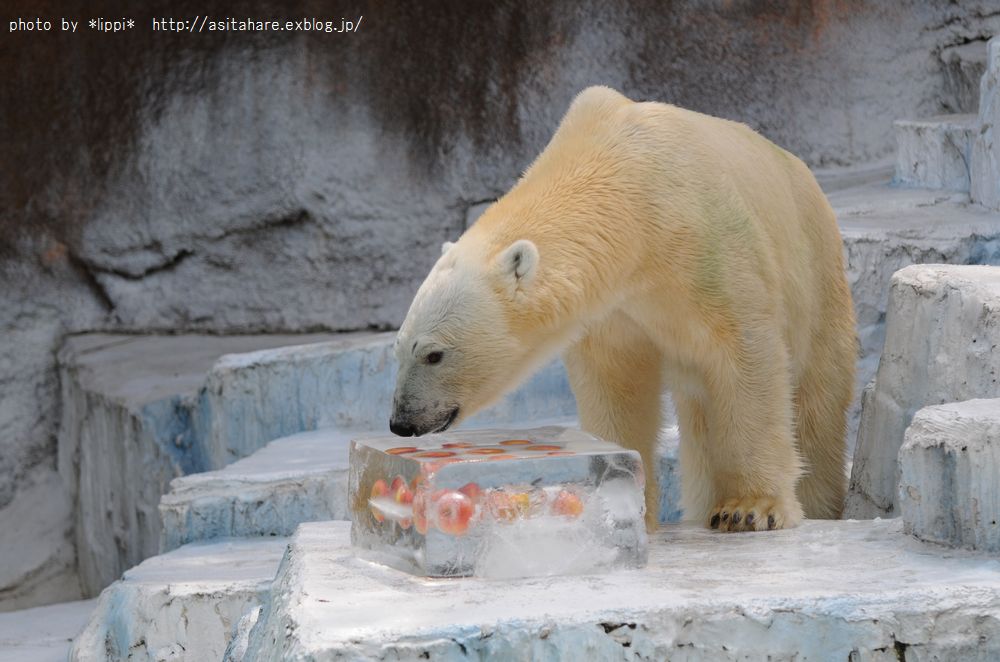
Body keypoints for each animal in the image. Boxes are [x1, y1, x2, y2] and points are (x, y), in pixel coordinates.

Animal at [386, 87, 856, 536]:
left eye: (433, 354)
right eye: (399, 348)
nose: (401, 422)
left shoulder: (710, 247)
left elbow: (745, 355)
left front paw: (750, 508)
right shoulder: (614, 309)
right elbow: (616, 382)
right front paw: (621, 498)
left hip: (815, 269)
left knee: (817, 394)